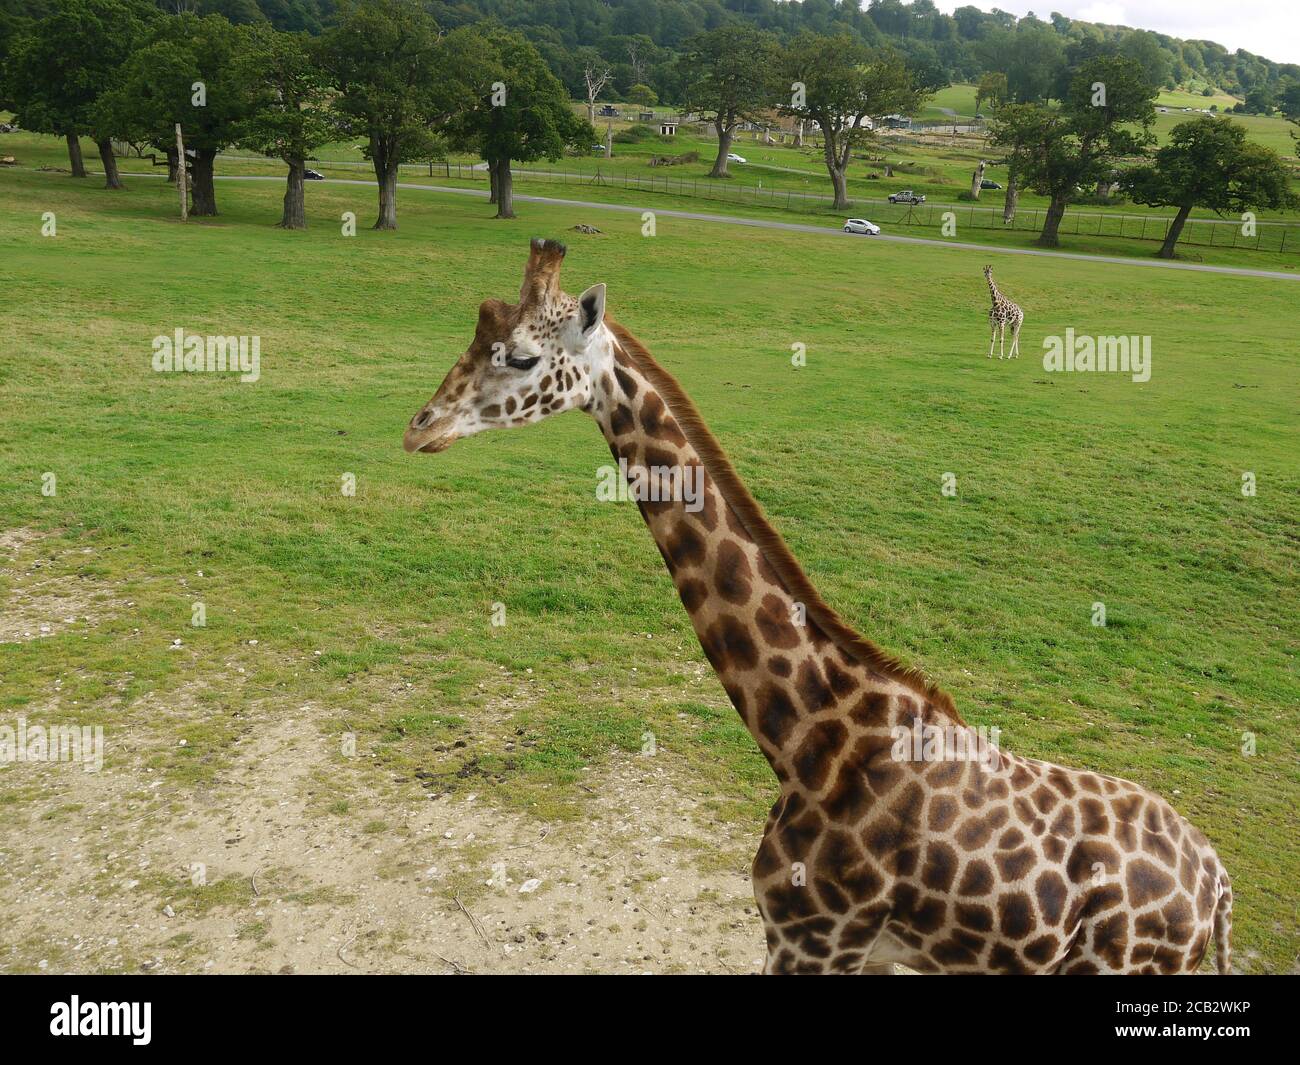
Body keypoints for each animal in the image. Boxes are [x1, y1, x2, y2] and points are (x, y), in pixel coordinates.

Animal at [403, 239, 1232, 975]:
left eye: (519, 356)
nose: (420, 427)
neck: (806, 739)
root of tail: (1218, 885)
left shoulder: (815, 940)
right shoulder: (859, 952)